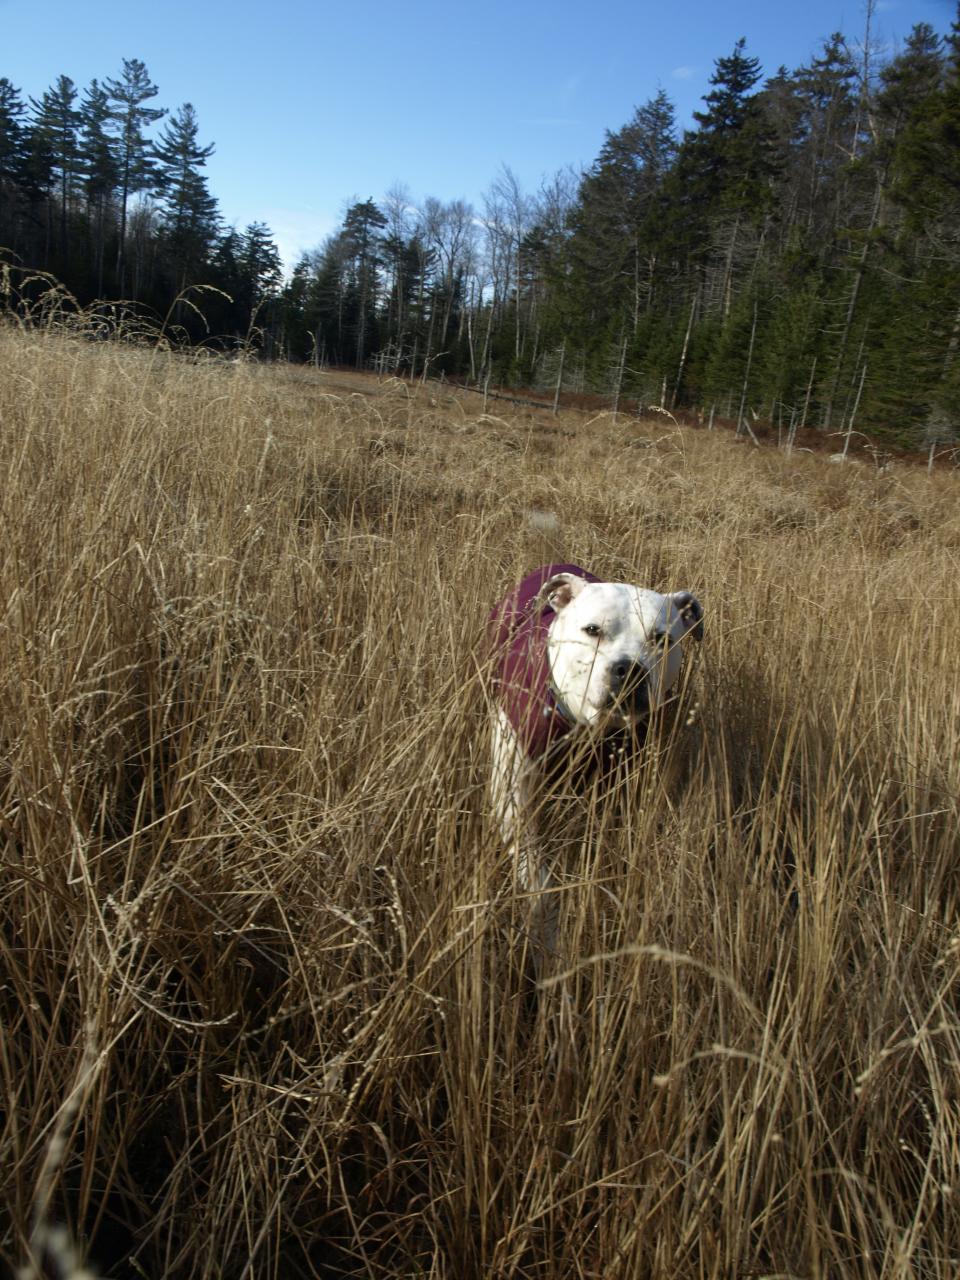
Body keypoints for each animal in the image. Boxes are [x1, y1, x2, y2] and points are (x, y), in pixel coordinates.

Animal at [488, 565, 706, 972]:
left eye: (661, 639)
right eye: (592, 630)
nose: (629, 669)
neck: (587, 727)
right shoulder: (513, 796)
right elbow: (537, 879)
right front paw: (547, 941)